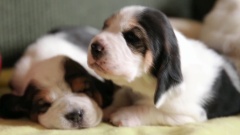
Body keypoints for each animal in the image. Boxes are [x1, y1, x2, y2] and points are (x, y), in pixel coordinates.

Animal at [87, 5, 240, 127]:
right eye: (105, 27)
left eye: (132, 37)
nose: (95, 46)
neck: (143, 84)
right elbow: (122, 94)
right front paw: (109, 109)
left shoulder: (189, 114)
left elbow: (151, 109)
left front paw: (123, 114)